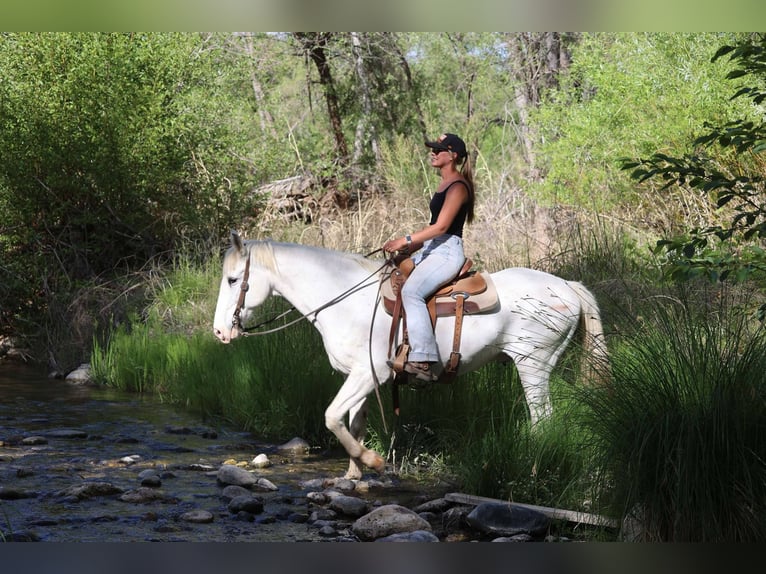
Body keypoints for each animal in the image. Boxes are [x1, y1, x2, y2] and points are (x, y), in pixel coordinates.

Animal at [213, 231, 608, 479]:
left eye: (233, 280)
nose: (219, 332)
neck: (345, 299)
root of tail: (567, 287)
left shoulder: (370, 373)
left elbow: (331, 417)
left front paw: (372, 462)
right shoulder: (359, 377)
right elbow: (353, 423)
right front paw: (353, 475)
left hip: (533, 365)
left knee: (543, 420)